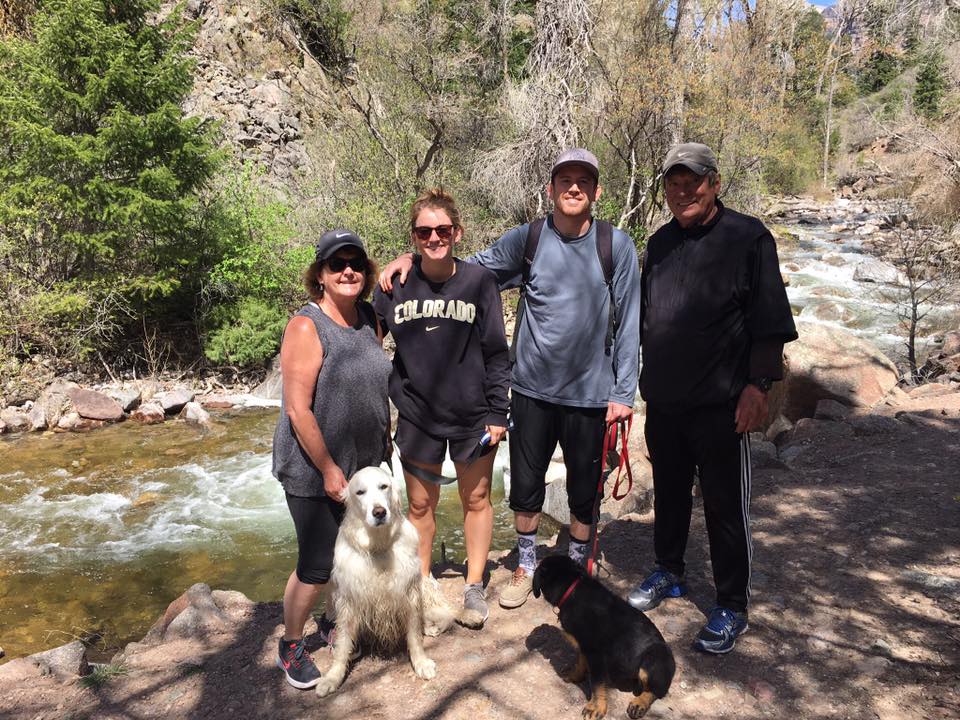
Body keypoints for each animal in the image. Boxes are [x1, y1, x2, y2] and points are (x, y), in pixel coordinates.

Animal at [532, 556, 676, 716]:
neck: (572, 590)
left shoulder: (596, 656)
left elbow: (597, 684)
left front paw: (595, 707)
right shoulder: (585, 648)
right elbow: (580, 661)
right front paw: (575, 675)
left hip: (654, 657)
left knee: (656, 691)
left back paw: (639, 704)